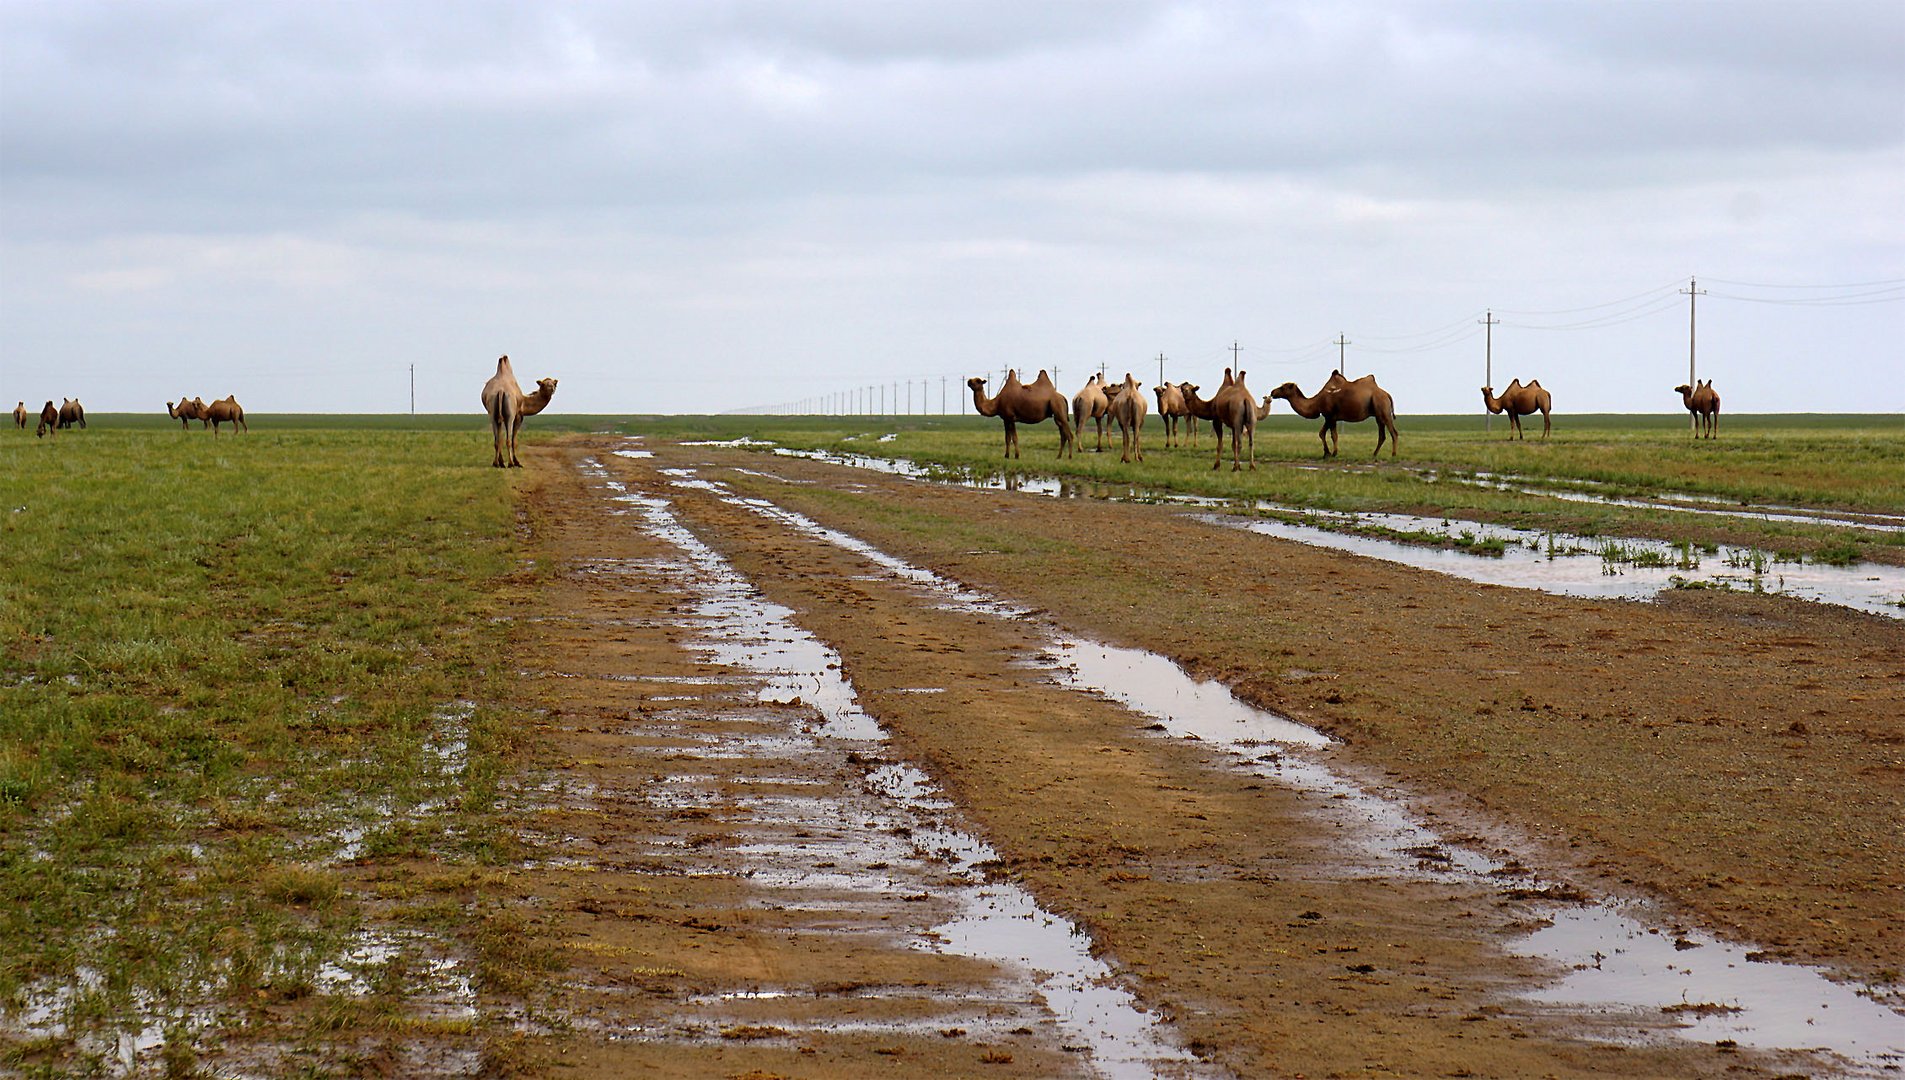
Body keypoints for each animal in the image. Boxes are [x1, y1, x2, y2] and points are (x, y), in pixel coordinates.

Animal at [1264, 373, 1402, 459]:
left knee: (1393, 432)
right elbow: (1322, 433)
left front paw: (1333, 453)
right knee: (1382, 435)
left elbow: (1333, 435)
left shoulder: (1330, 416)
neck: (1316, 402)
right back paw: (1374, 454)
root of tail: (1387, 395)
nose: (1272, 392)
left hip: (1383, 409)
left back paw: (1394, 454)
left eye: (1283, 387)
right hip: (1378, 415)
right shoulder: (1328, 417)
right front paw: (1326, 453)